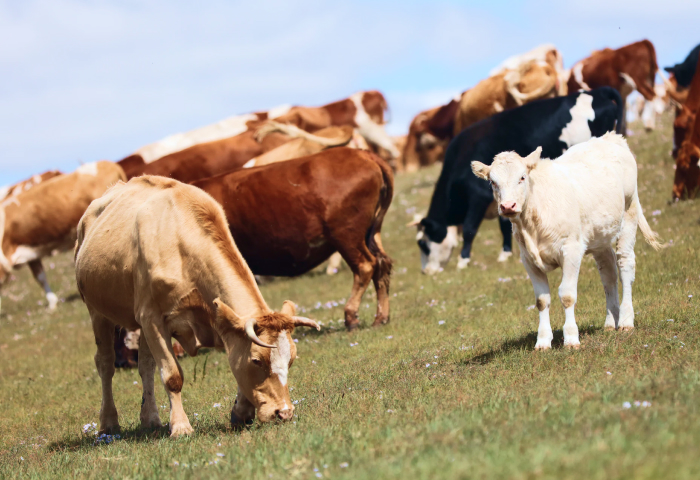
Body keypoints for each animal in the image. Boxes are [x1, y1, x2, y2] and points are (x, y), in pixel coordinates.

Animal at [74, 174, 320, 436]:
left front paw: (241, 411)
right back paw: (109, 423)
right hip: (98, 313)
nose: (284, 412)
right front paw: (181, 426)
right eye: (257, 360)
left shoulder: (218, 321)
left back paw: (150, 419)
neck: (182, 246)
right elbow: (172, 376)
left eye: (291, 359)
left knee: (146, 366)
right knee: (105, 364)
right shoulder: (152, 319)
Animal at [194, 148, 394, 332]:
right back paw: (381, 318)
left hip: (346, 234)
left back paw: (351, 316)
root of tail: (362, 153)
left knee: (365, 266)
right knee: (382, 264)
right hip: (370, 233)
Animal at [412, 86, 620, 274]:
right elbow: (504, 225)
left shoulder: (477, 197)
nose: (425, 271)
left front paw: (463, 261)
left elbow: (469, 230)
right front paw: (504, 254)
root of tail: (598, 91)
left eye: (423, 243)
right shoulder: (503, 198)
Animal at [470, 133, 660, 350]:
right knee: (608, 273)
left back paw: (627, 320)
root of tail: (610, 137)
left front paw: (571, 338)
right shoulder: (528, 259)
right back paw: (611, 321)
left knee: (625, 264)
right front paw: (543, 341)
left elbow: (567, 295)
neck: (533, 223)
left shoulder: (571, 249)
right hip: (599, 236)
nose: (508, 206)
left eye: (522, 177)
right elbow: (542, 300)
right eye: (493, 182)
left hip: (630, 212)